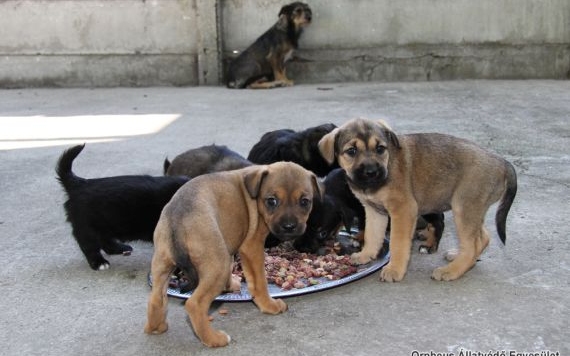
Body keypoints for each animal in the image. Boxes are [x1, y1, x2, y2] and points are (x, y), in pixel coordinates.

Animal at [56, 145, 189, 270]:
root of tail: (78, 184)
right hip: (88, 226)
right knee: (88, 245)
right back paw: (99, 262)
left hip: (106, 224)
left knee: (105, 240)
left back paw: (119, 248)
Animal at [142, 161, 320, 348]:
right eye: (272, 200)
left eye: (305, 202)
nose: (289, 226)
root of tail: (178, 219)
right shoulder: (252, 247)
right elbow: (259, 282)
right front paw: (269, 305)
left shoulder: (229, 247)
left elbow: (232, 267)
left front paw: (231, 285)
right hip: (216, 266)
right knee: (194, 304)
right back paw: (213, 339)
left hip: (162, 264)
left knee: (156, 299)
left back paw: (156, 327)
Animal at [318, 118, 516, 282]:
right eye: (351, 151)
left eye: (380, 149)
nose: (371, 172)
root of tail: (502, 162)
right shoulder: (374, 211)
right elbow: (372, 236)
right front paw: (366, 255)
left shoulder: (403, 211)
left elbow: (398, 243)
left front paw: (394, 269)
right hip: (472, 210)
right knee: (482, 238)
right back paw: (457, 257)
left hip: (464, 208)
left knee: (472, 246)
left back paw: (451, 271)